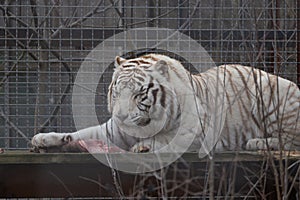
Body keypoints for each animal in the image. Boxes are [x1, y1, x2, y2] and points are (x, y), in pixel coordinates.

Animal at [31, 54, 300, 152]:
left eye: (139, 94)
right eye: (117, 92)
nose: (121, 117)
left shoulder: (198, 132)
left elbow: (166, 137)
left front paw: (143, 146)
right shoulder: (112, 131)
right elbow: (82, 133)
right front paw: (45, 138)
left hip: (272, 96)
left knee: (292, 140)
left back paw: (258, 142)